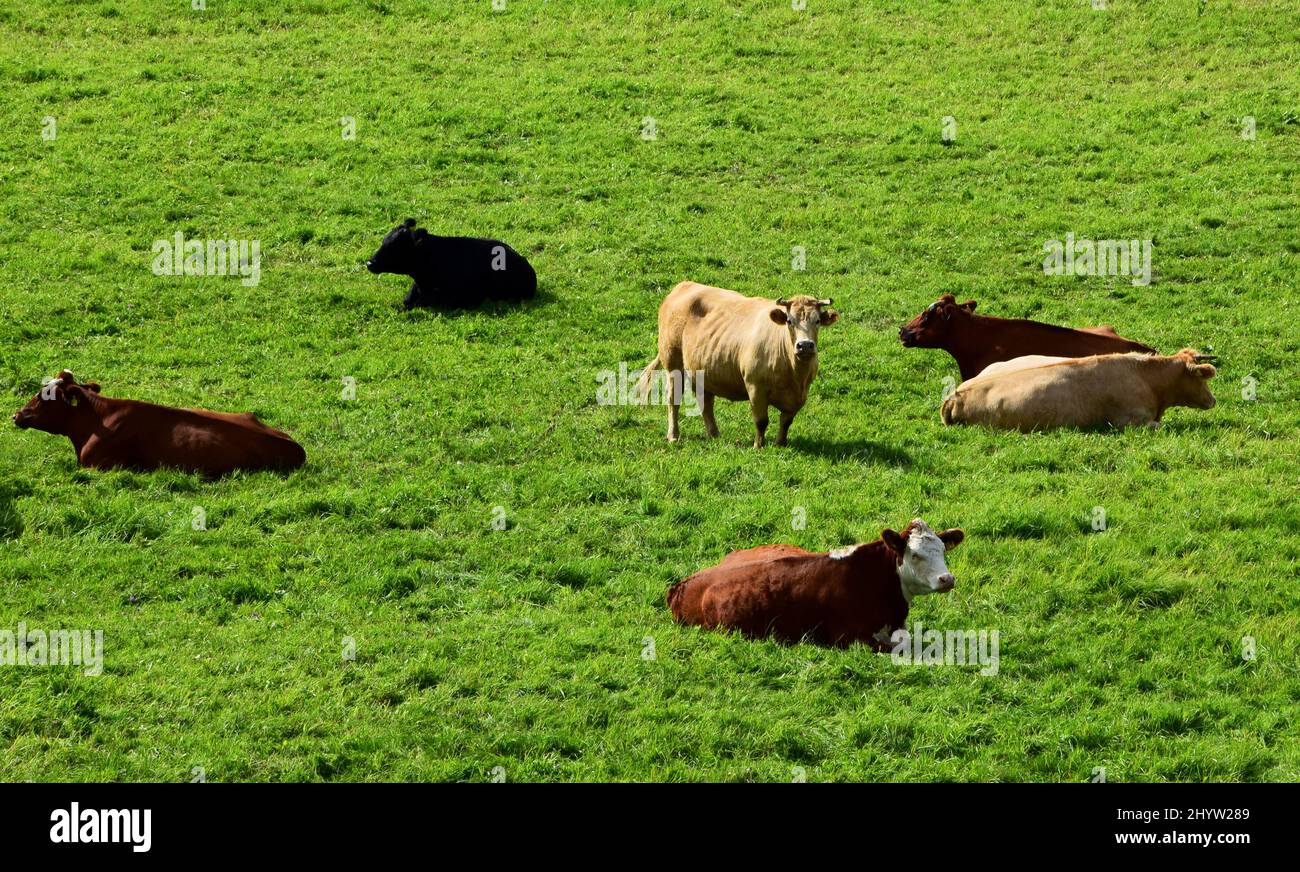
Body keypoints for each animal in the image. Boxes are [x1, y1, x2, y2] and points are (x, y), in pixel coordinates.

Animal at [636, 281, 839, 447]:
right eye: (789, 321)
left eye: (817, 321)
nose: (804, 345)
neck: (794, 374)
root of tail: (684, 285)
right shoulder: (755, 386)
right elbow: (761, 420)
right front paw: (759, 446)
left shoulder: (800, 395)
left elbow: (786, 422)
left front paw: (781, 443)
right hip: (673, 362)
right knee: (673, 399)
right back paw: (673, 435)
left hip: (704, 369)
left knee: (706, 403)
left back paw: (714, 434)